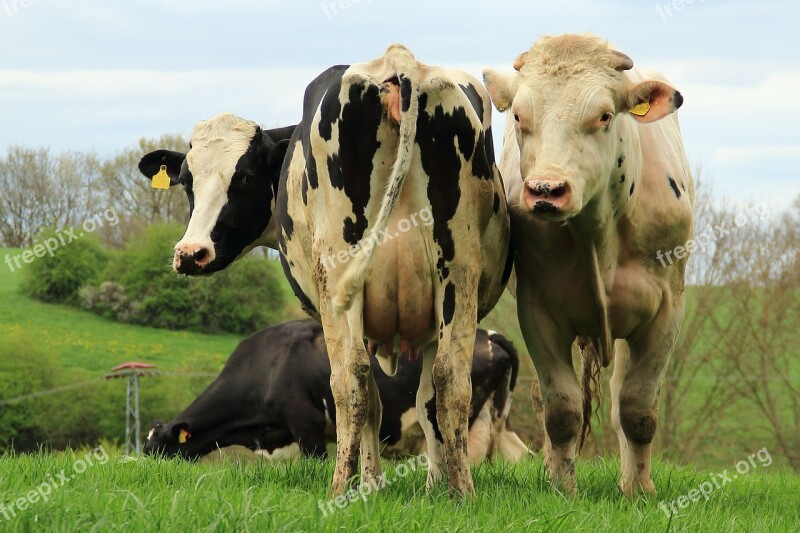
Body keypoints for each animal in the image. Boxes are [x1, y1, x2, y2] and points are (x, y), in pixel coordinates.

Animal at [144, 318, 532, 464]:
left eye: (157, 445)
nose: (143, 467)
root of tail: (490, 334)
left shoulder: (307, 424)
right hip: (497, 416)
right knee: (518, 454)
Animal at [276, 44, 512, 494]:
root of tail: (398, 59)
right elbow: (425, 399)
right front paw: (434, 485)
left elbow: (374, 397)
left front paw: (372, 484)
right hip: (457, 269)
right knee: (452, 379)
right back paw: (464, 492)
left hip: (337, 273)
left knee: (349, 379)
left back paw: (338, 488)